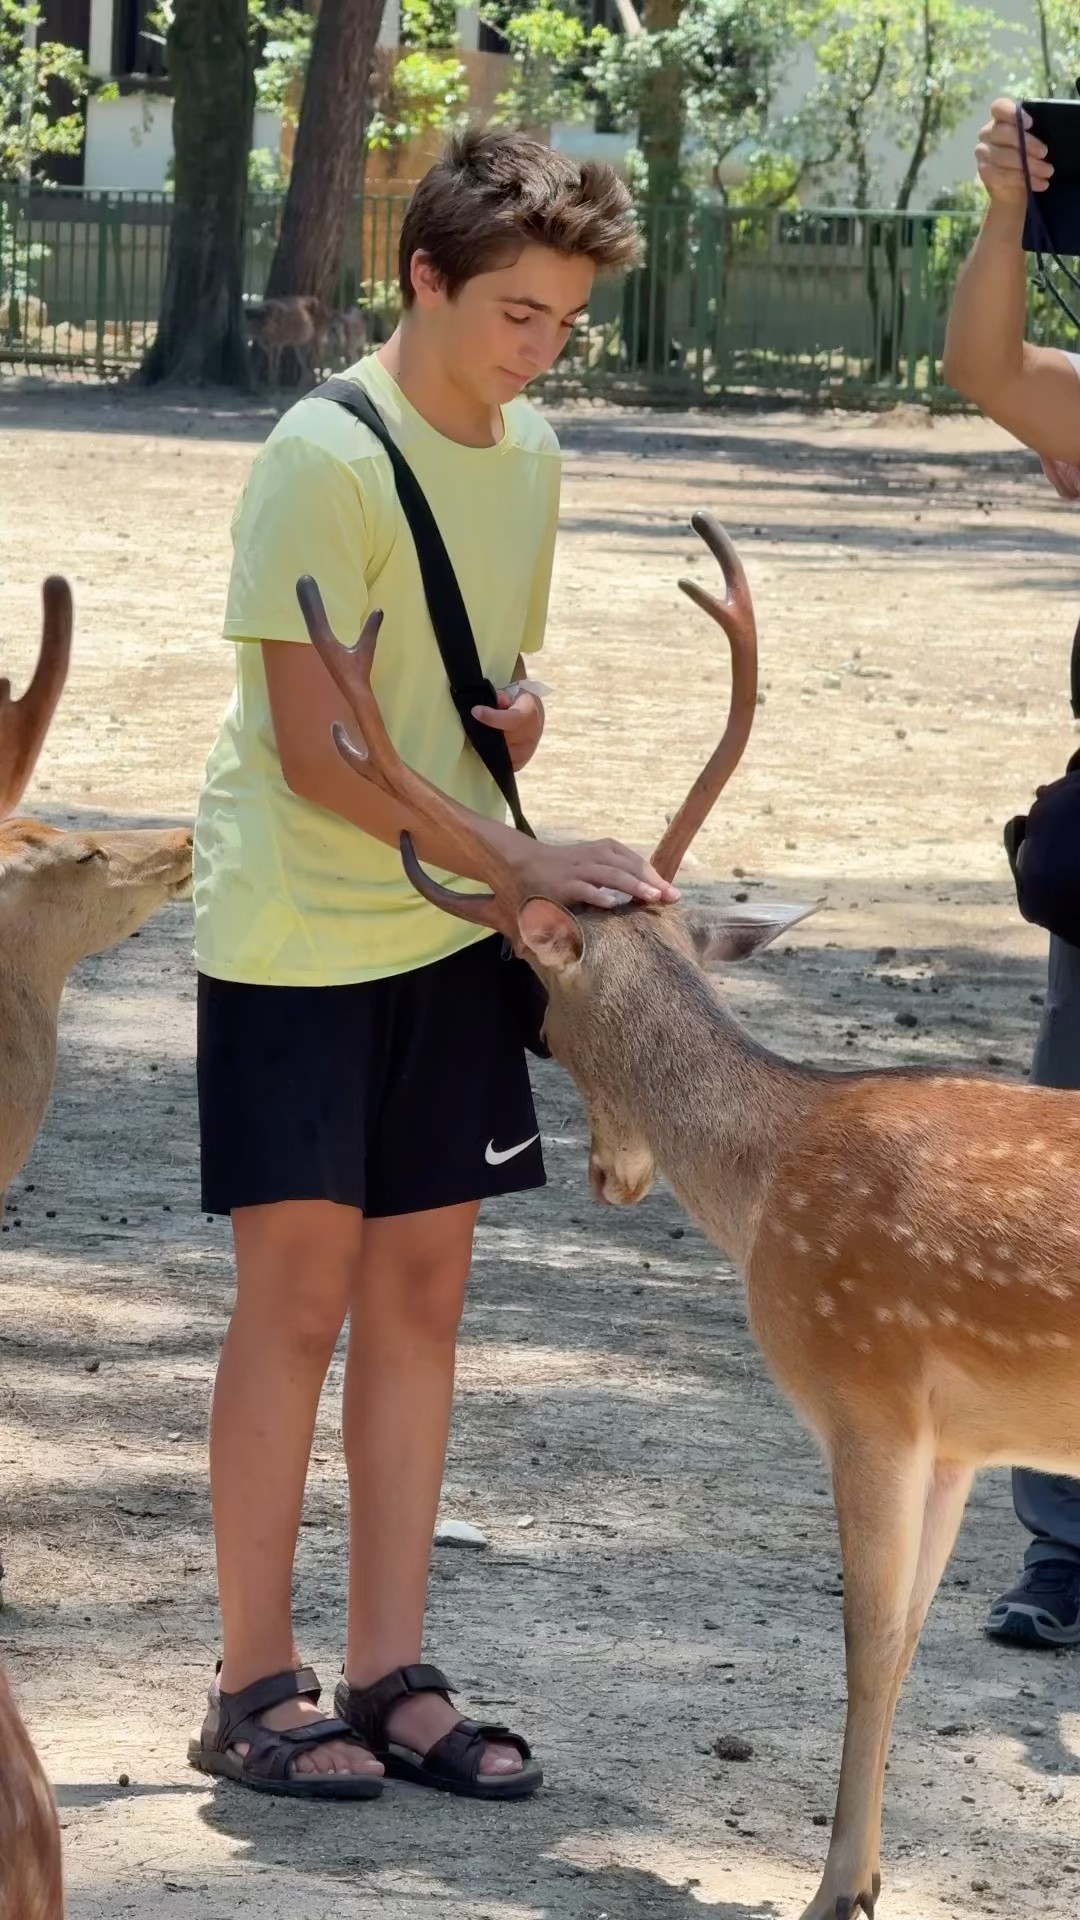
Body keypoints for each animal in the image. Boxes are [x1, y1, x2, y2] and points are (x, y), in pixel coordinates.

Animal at [295, 518, 1080, 1920]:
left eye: (533, 1001)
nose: (613, 1179)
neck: (769, 1174)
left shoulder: (866, 1385)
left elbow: (865, 1641)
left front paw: (837, 1889)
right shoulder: (956, 1439)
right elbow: (910, 1636)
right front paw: (866, 1873)